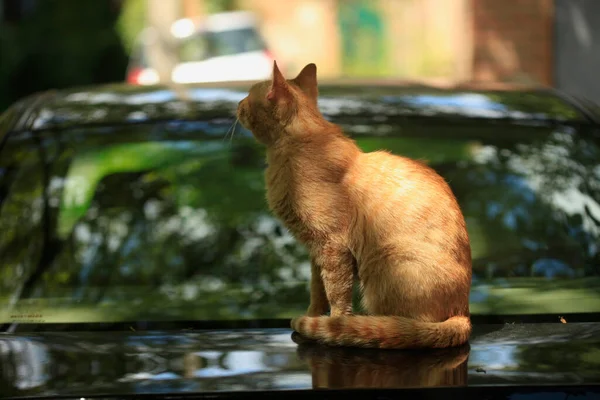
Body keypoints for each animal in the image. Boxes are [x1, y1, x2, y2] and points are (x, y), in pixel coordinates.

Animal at [236, 61, 474, 348]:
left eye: (249, 94)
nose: (237, 104)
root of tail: (464, 313)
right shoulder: (315, 250)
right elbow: (317, 290)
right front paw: (313, 316)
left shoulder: (333, 245)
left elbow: (337, 293)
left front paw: (334, 324)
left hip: (385, 260)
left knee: (406, 325)